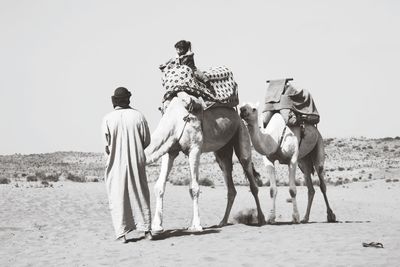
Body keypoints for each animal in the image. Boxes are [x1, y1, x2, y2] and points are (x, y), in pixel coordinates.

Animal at [146, 93, 266, 232]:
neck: (174, 118)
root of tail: (238, 116)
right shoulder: (170, 151)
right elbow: (159, 186)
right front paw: (157, 226)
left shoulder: (194, 148)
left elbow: (194, 188)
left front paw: (196, 225)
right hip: (222, 152)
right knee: (230, 184)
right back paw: (223, 221)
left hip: (242, 133)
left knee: (251, 178)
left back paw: (262, 219)